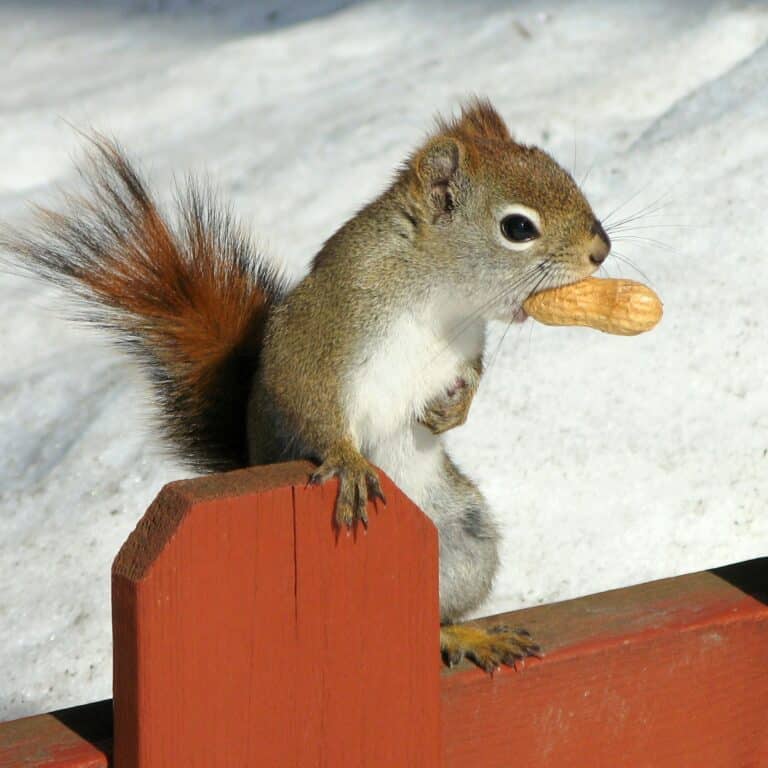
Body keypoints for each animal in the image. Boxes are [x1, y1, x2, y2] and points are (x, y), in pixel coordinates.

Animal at [1, 98, 610, 672]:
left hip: (465, 538)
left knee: (432, 616)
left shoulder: (466, 347)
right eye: (517, 227)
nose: (600, 251)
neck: (442, 299)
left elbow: (473, 377)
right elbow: (304, 397)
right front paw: (348, 461)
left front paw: (454, 411)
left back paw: (466, 635)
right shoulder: (321, 331)